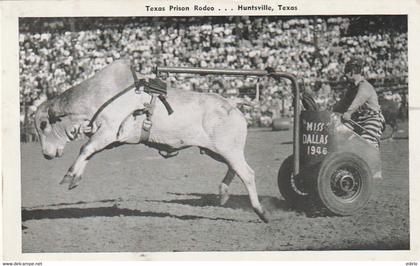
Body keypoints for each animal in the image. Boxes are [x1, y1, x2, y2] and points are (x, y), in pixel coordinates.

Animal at [33, 58, 270, 222]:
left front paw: (69, 175)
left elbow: (85, 148)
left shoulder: (109, 131)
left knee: (247, 173)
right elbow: (89, 152)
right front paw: (75, 177)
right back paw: (222, 193)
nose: (45, 154)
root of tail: (234, 105)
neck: (98, 95)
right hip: (217, 151)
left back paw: (260, 211)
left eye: (44, 124)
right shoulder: (105, 138)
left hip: (228, 149)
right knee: (235, 169)